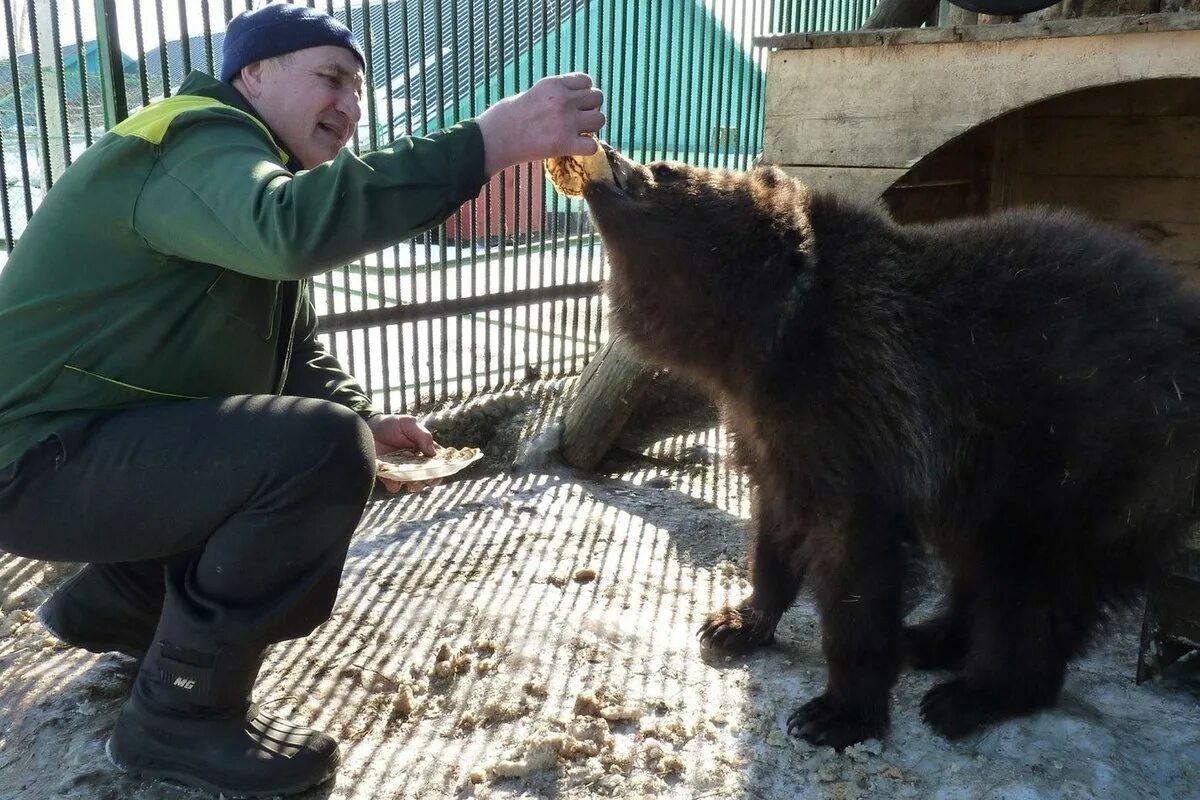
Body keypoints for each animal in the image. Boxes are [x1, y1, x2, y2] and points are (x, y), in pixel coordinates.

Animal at [580, 148, 1200, 753]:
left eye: (667, 170)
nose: (611, 158)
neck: (762, 341)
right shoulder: (772, 435)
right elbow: (775, 528)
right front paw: (736, 622)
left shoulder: (861, 412)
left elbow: (855, 564)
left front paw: (836, 712)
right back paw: (931, 638)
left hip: (1082, 453)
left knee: (1031, 579)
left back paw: (972, 693)